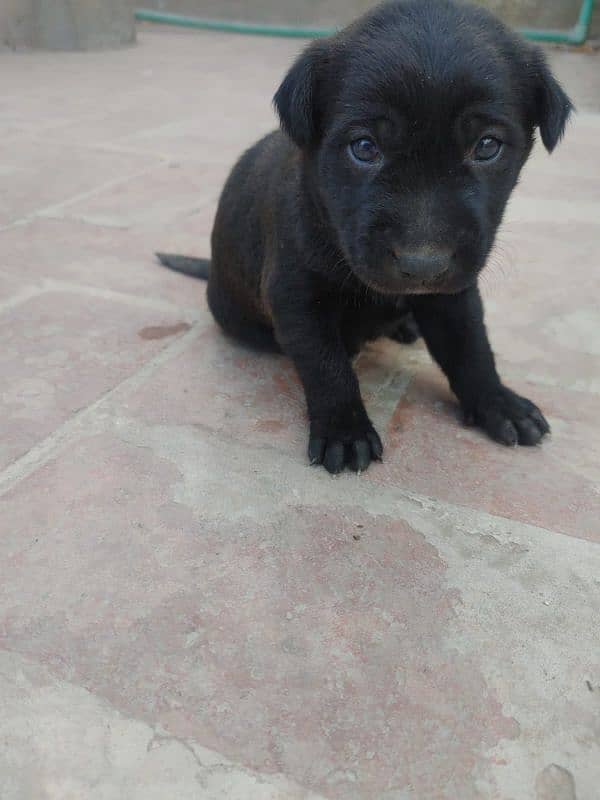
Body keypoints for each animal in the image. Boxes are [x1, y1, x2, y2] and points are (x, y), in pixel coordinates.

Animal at [159, 0, 572, 476]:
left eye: (487, 146)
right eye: (364, 147)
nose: (423, 265)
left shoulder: (454, 295)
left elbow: (471, 347)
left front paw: (498, 402)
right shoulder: (298, 298)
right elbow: (327, 366)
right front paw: (345, 430)